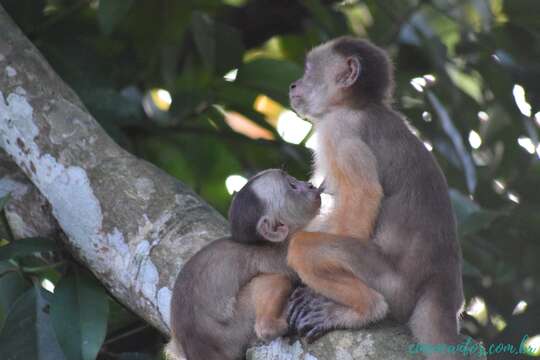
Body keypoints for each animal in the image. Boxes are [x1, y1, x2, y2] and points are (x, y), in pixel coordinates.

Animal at [167, 169, 322, 360]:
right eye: (292, 186)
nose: (310, 185)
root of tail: (198, 348)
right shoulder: (283, 252)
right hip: (234, 330)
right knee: (273, 279)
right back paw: (269, 326)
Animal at [286, 35, 464, 358]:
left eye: (308, 71)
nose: (294, 85)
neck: (359, 105)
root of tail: (441, 286)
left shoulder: (340, 129)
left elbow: (362, 197)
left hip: (391, 283)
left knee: (305, 247)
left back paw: (365, 310)